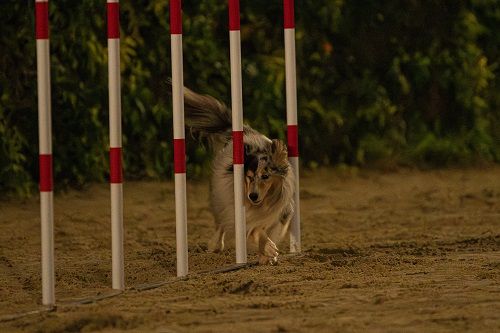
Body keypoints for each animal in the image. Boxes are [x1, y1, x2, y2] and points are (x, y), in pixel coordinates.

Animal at [183, 87, 292, 264]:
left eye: (266, 176)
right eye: (249, 177)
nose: (252, 196)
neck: (263, 203)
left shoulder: (282, 213)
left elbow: (271, 229)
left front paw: (267, 256)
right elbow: (255, 231)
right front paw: (268, 248)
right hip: (219, 195)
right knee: (221, 221)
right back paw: (215, 244)